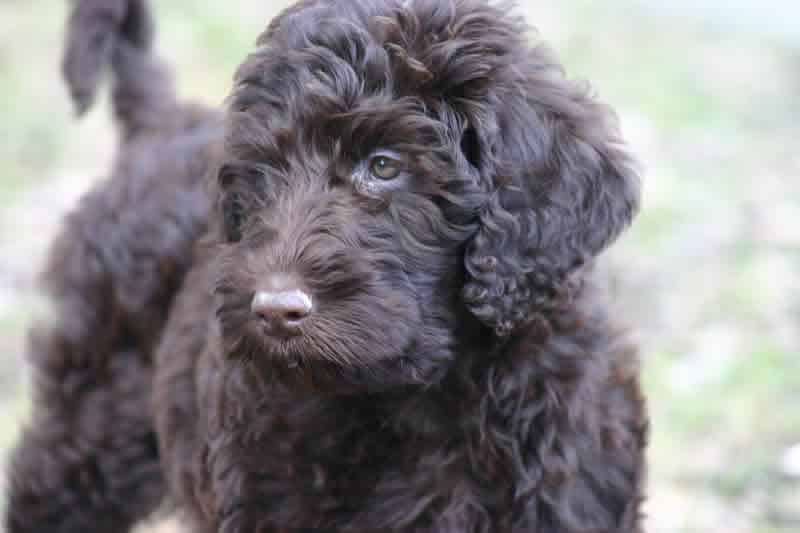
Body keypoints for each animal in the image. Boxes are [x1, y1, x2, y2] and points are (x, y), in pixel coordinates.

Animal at [3, 1, 648, 532]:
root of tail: (162, 123)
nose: (273, 311)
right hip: (91, 416)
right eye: (261, 175)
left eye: (384, 166)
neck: (423, 395)